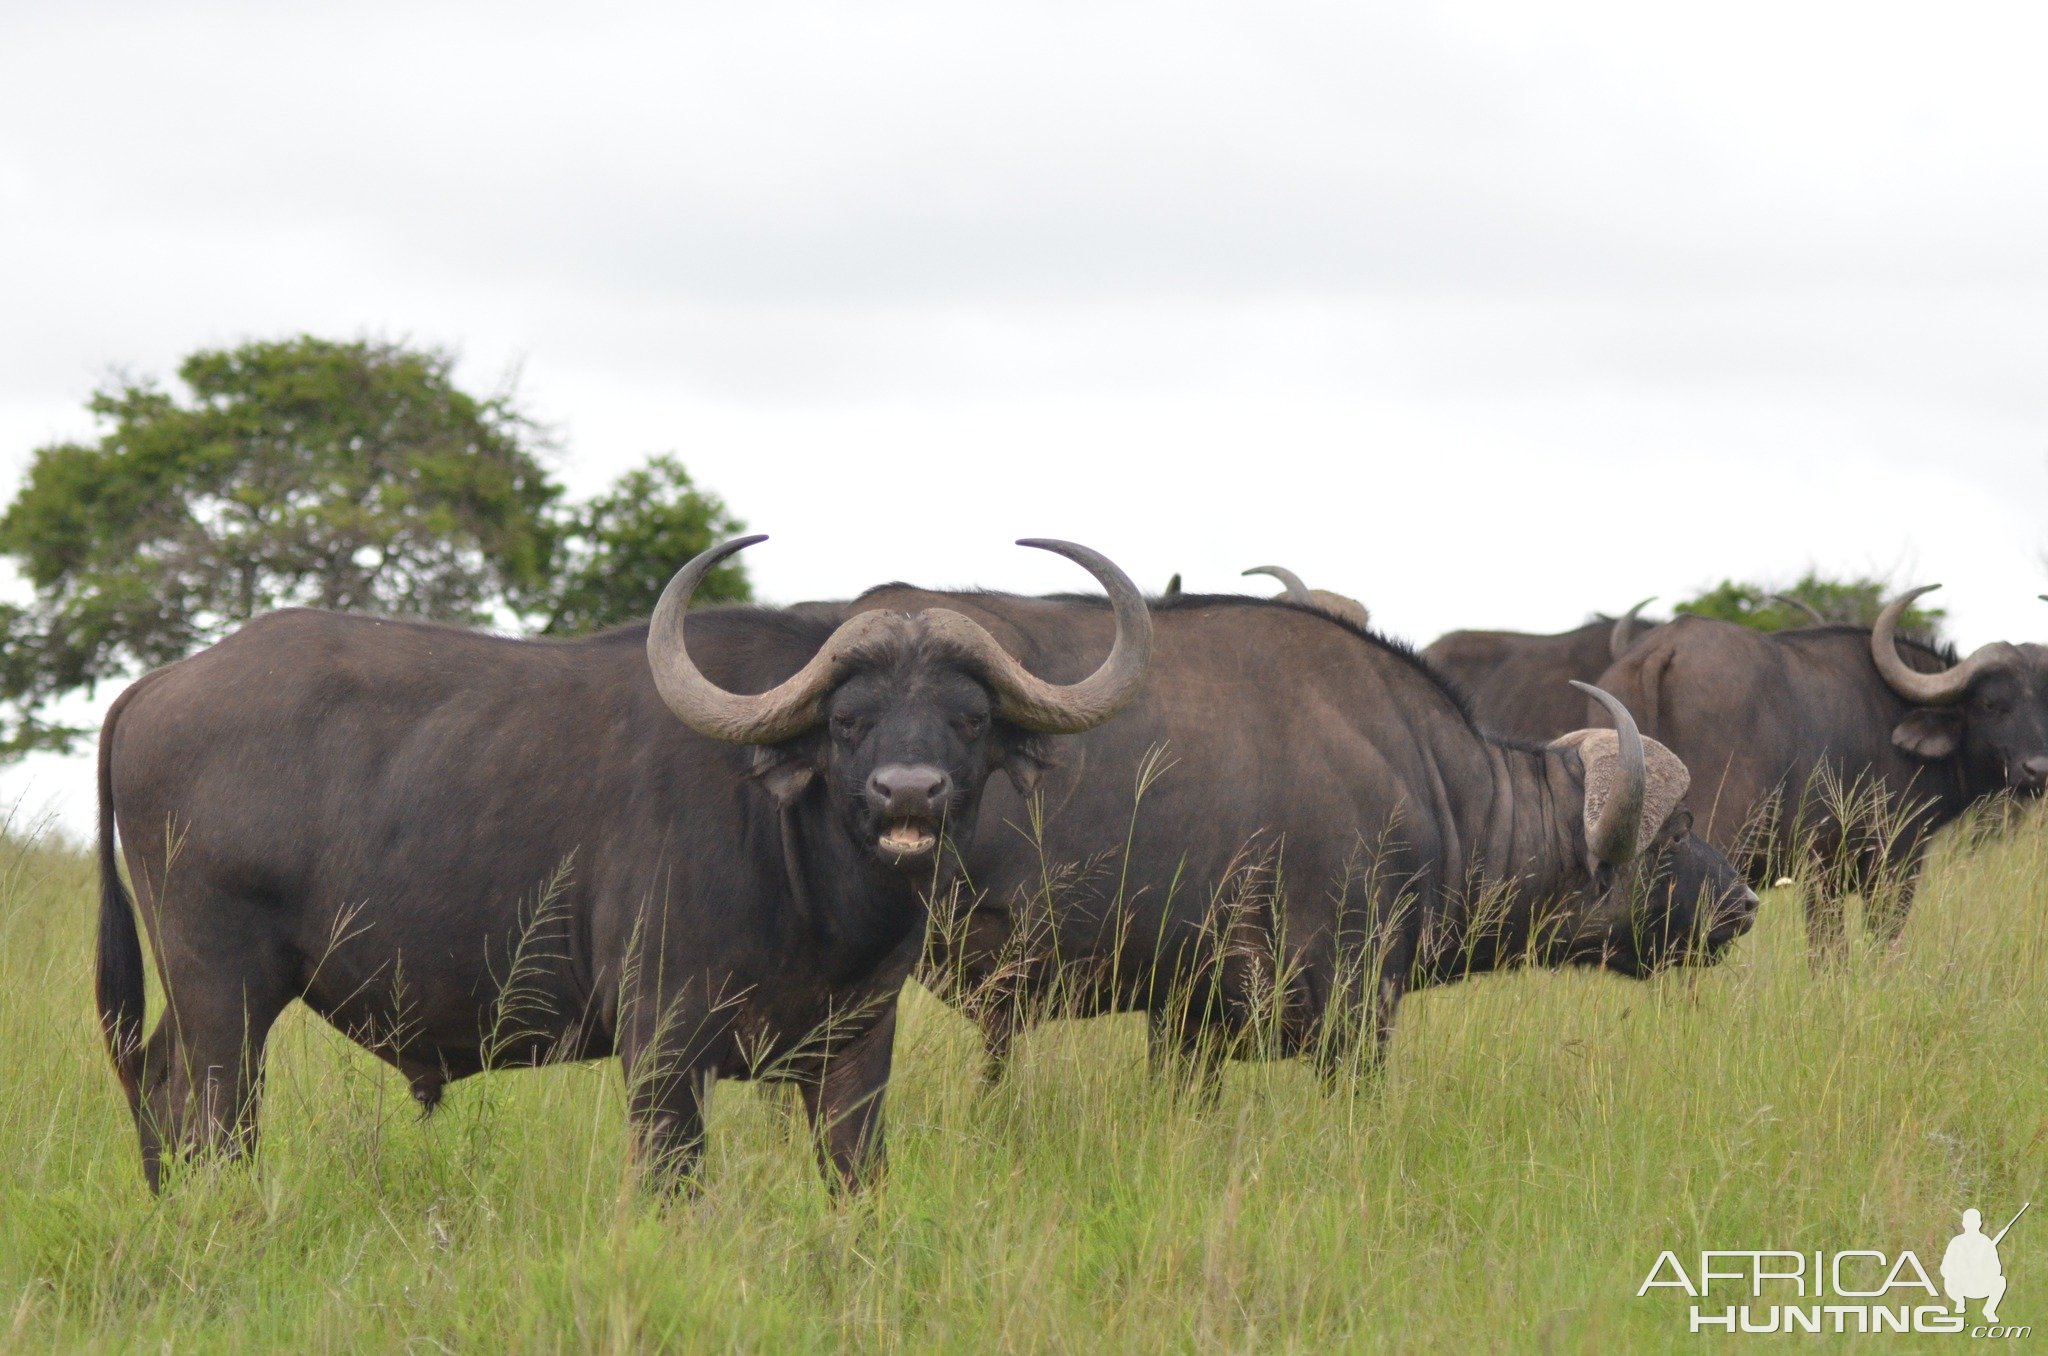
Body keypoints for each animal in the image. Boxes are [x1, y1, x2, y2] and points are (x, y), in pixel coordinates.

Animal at [99, 536, 1155, 1196]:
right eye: (848, 719)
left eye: (969, 718)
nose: (909, 796)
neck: (808, 881)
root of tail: (157, 685)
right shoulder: (664, 1045)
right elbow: (671, 1185)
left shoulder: (857, 1045)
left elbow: (860, 1179)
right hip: (223, 989)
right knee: (211, 1112)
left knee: (157, 1086)